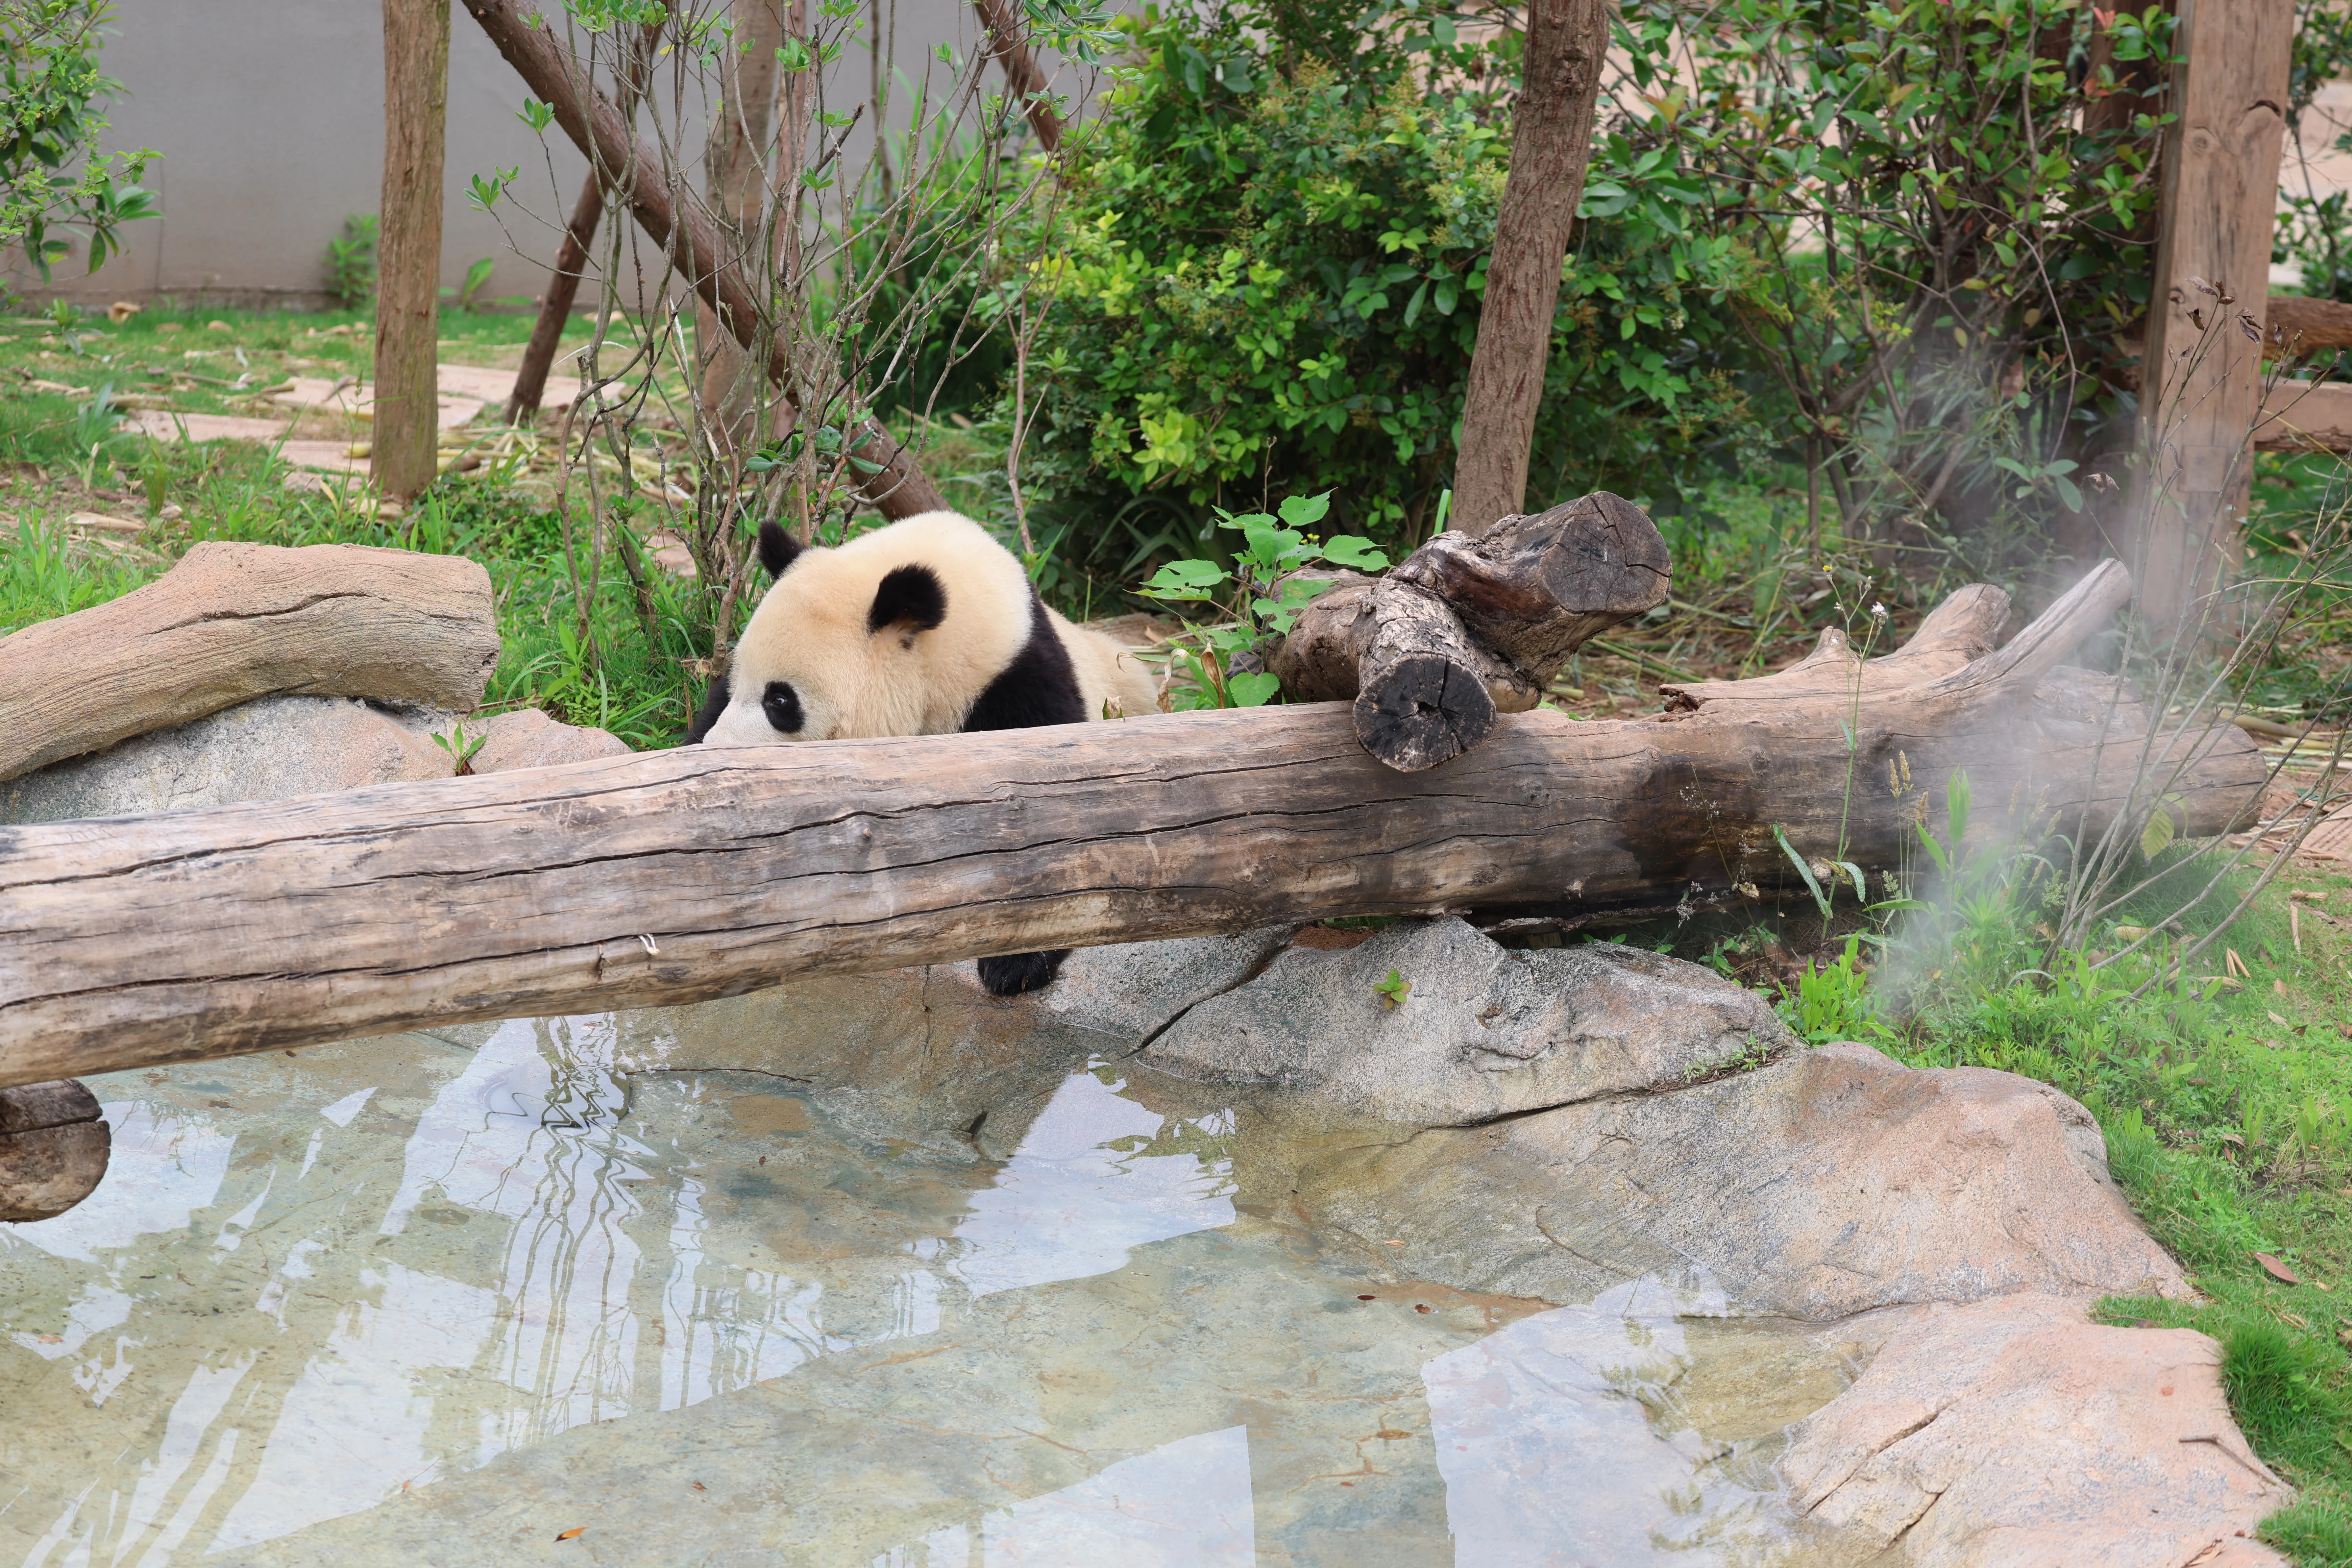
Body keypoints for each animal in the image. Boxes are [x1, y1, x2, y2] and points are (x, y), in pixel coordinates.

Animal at [688, 510, 1160, 997]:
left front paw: (1017, 960)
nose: (717, 753)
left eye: (779, 701)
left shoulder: (1020, 684)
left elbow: (1056, 818)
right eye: (736, 682)